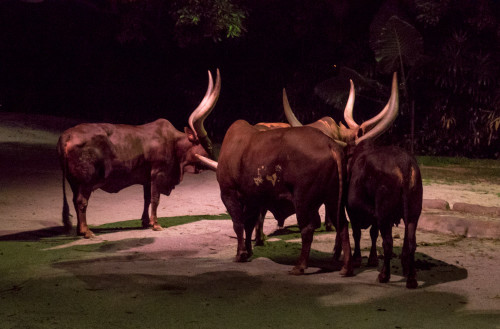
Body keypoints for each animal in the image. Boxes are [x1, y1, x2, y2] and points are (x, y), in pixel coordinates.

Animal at [57, 70, 221, 238]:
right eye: (208, 144)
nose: (217, 160)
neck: (174, 143)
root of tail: (68, 135)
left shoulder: (147, 179)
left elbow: (147, 199)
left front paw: (146, 221)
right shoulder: (157, 174)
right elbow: (155, 199)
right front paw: (156, 224)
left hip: (74, 182)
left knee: (75, 200)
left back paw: (79, 229)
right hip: (86, 181)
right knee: (81, 201)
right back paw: (86, 231)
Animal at [286, 72, 426, 288]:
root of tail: (404, 165)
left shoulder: (352, 207)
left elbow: (358, 233)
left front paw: (359, 258)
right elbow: (371, 233)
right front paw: (370, 258)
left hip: (385, 212)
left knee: (388, 242)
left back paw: (384, 276)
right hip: (413, 213)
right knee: (410, 242)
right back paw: (411, 279)